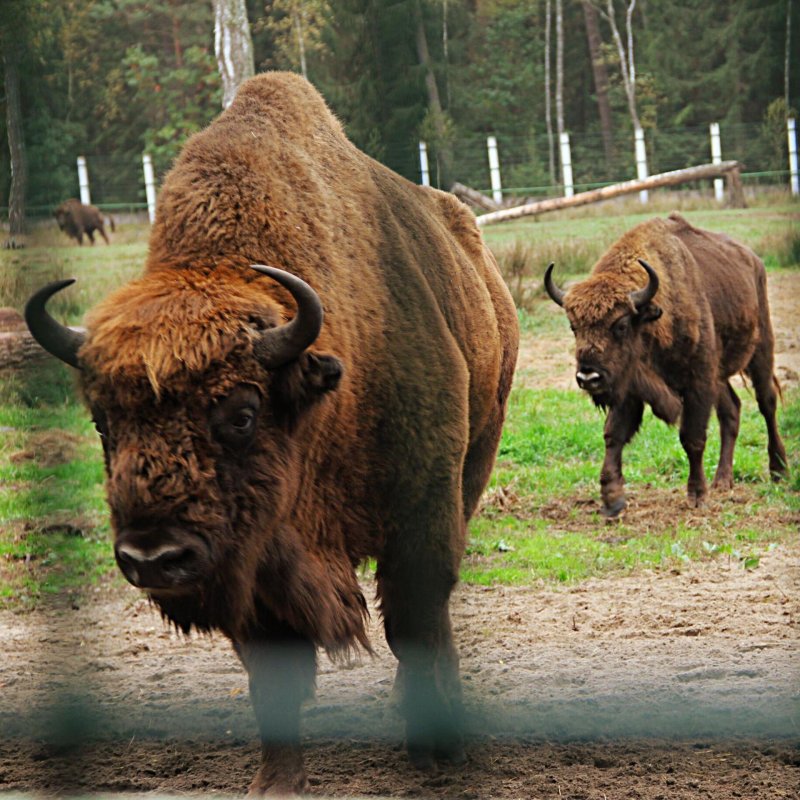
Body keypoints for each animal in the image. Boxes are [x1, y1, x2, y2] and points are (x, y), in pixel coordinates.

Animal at [25, 72, 520, 796]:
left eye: (242, 413)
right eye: (101, 420)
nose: (153, 557)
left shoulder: (421, 515)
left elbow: (418, 624)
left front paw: (436, 750)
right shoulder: (254, 562)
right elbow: (274, 675)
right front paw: (276, 781)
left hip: (477, 456)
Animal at [544, 209, 788, 516]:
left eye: (621, 325)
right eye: (574, 327)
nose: (588, 378)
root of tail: (753, 260)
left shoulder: (697, 383)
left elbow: (692, 438)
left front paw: (697, 495)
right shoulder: (630, 386)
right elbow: (614, 435)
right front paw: (612, 500)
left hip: (761, 350)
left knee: (767, 403)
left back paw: (779, 471)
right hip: (719, 375)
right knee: (731, 410)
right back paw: (723, 481)